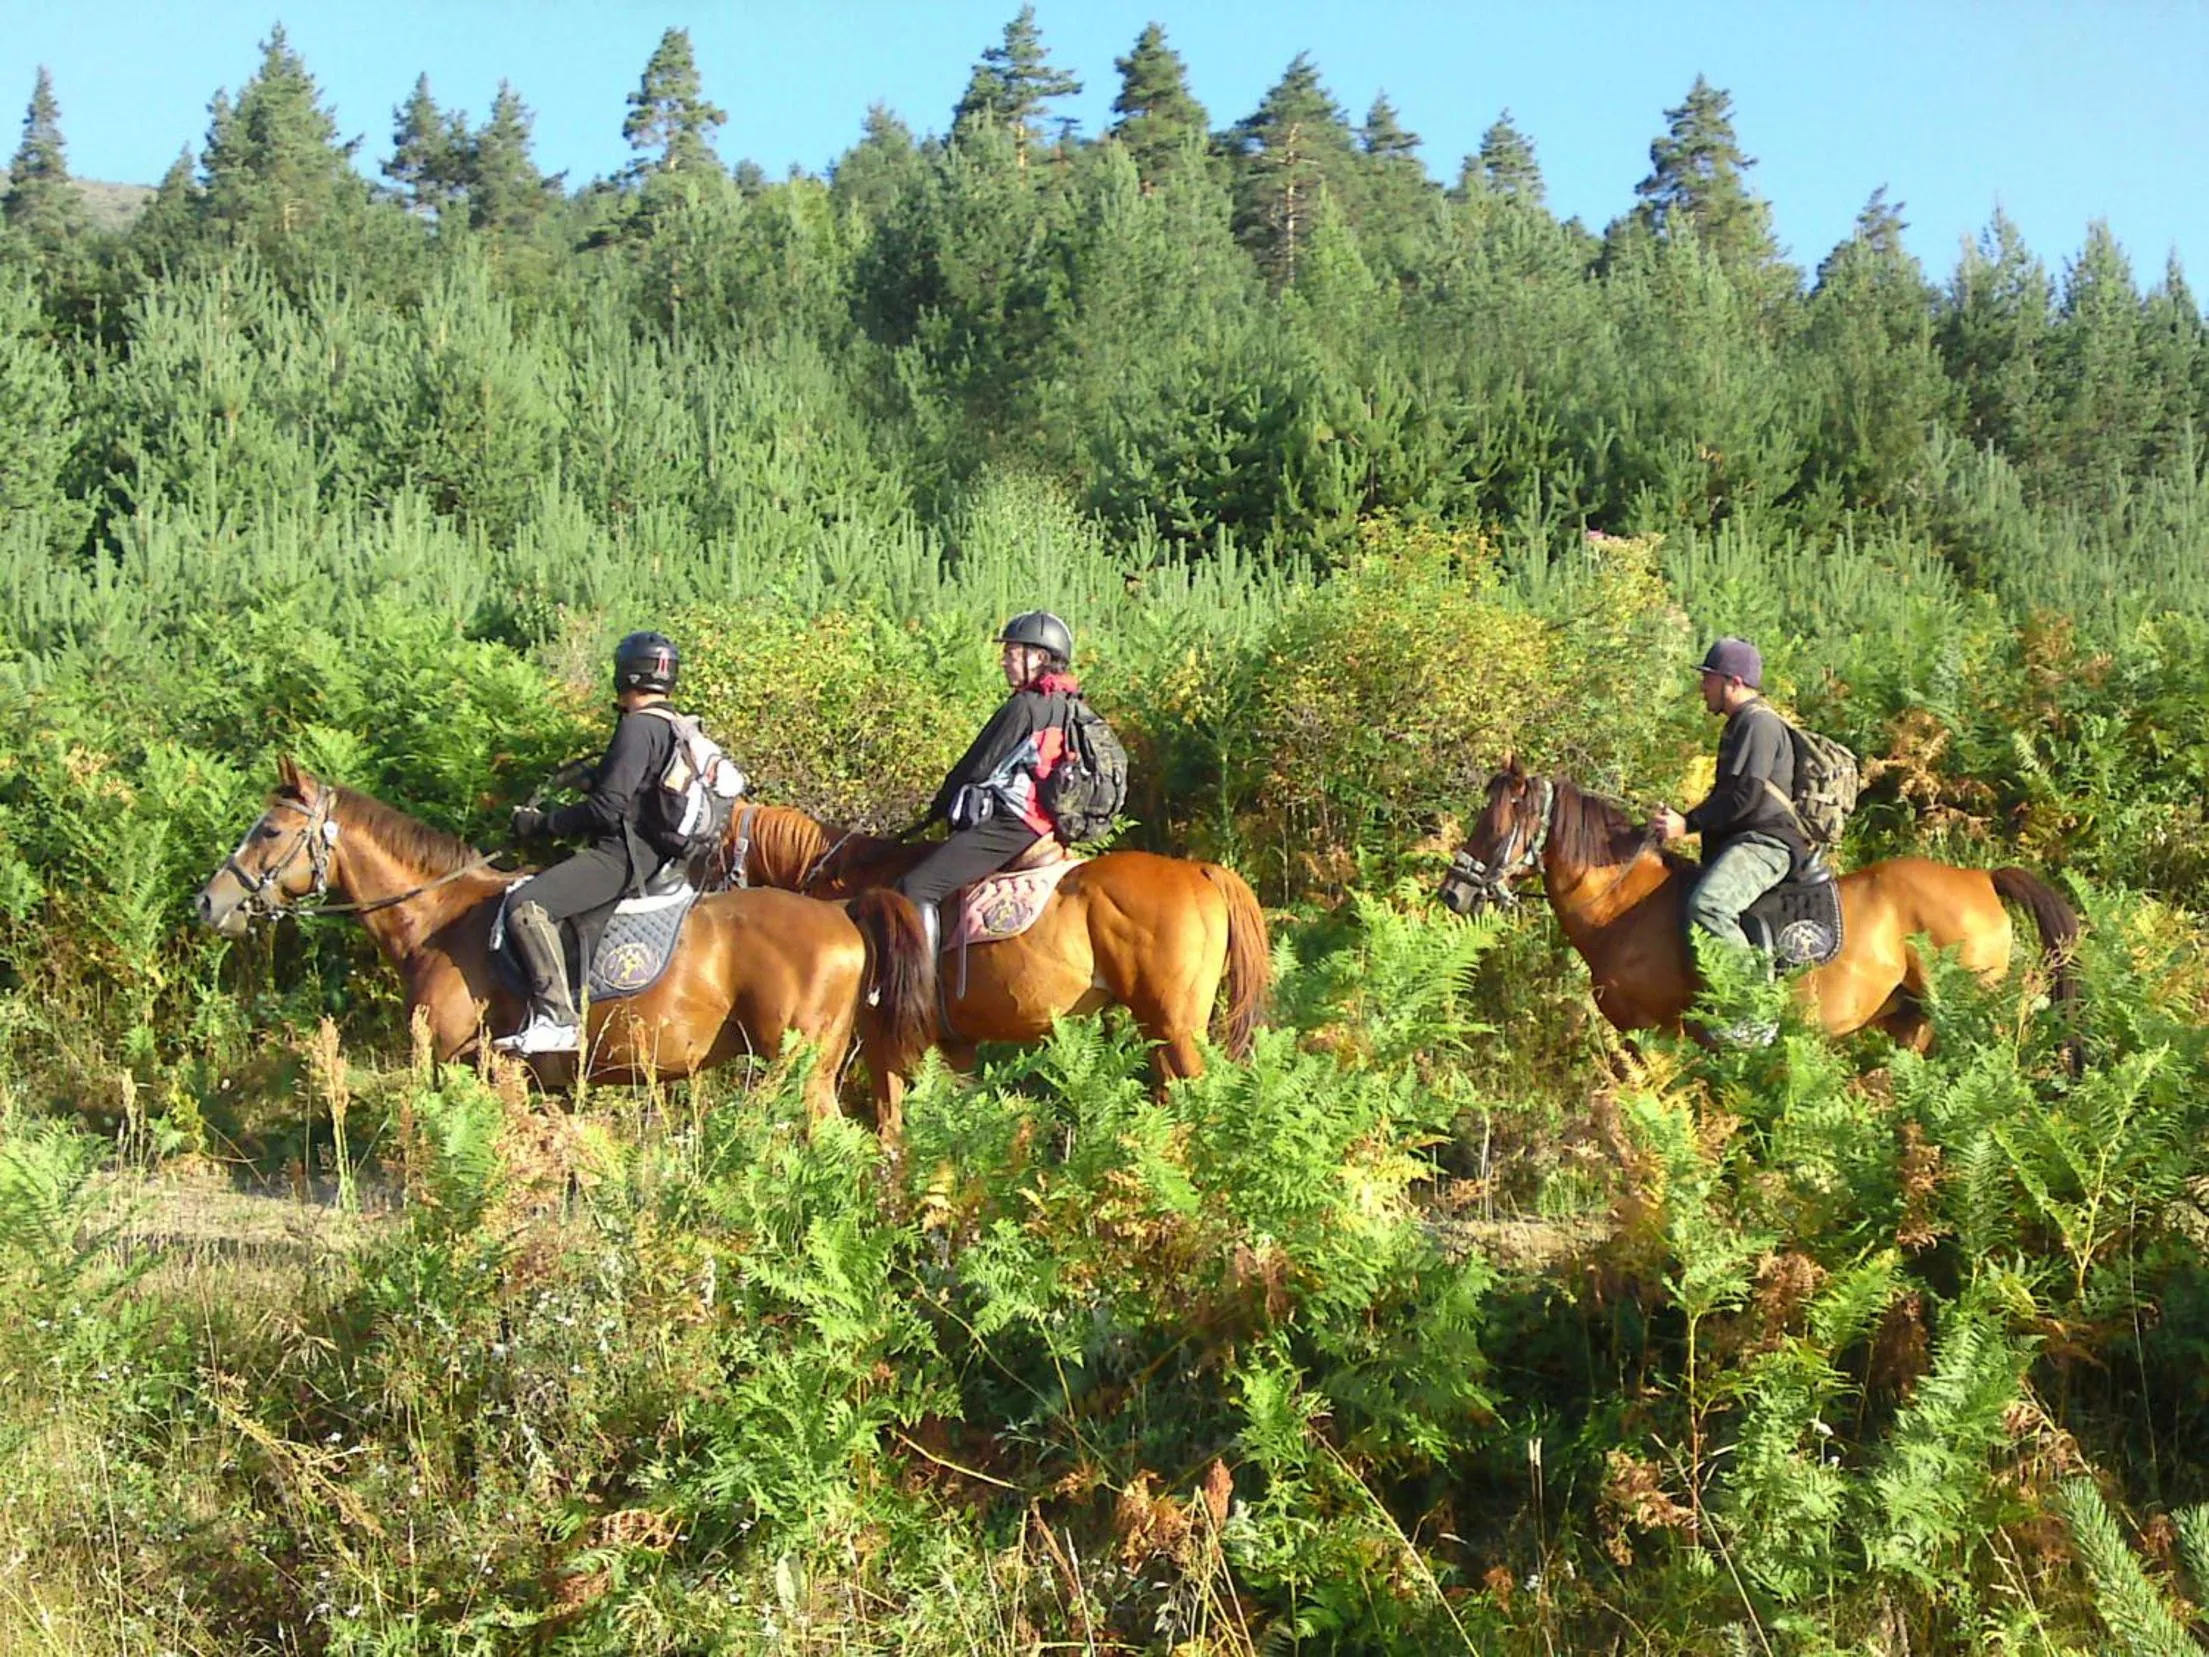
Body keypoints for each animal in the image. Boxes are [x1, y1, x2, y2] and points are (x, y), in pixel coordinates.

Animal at [194, 759, 934, 1128]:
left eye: (268, 830)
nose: (208, 902)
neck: (440, 919)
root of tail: (841, 912)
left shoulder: (482, 1072)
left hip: (799, 1069)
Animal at [1436, 757, 2080, 1048]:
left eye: (1495, 824)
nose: (1453, 892)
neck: (1624, 909)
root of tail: (1980, 878)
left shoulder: (1655, 1033)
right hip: (1909, 1020)